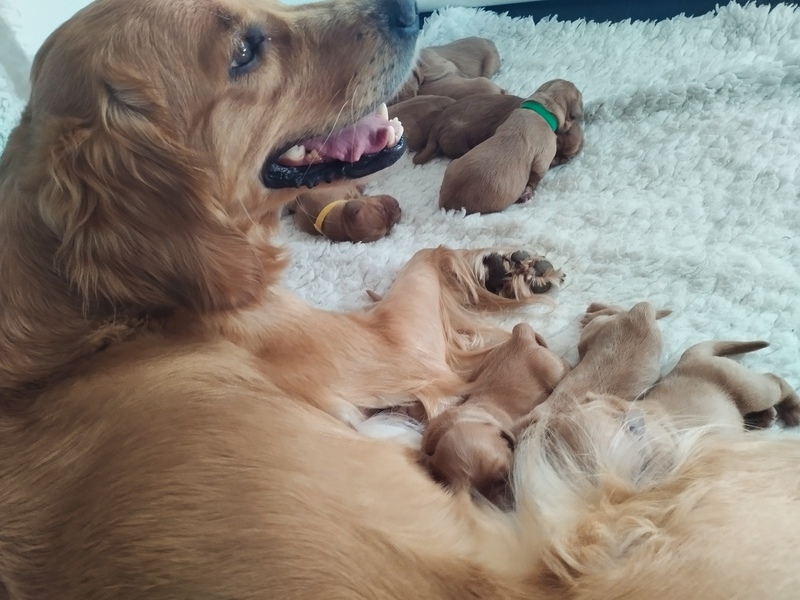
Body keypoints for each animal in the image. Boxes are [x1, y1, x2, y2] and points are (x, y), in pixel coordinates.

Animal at [419, 322, 571, 507]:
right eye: (471, 496)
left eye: (504, 477)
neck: (457, 422)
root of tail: (520, 337)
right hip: (488, 360)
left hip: (553, 369)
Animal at [438, 79, 584, 214]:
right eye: (557, 151)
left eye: (564, 159)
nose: (557, 160)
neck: (543, 110)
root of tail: (446, 205)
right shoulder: (542, 160)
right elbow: (536, 176)